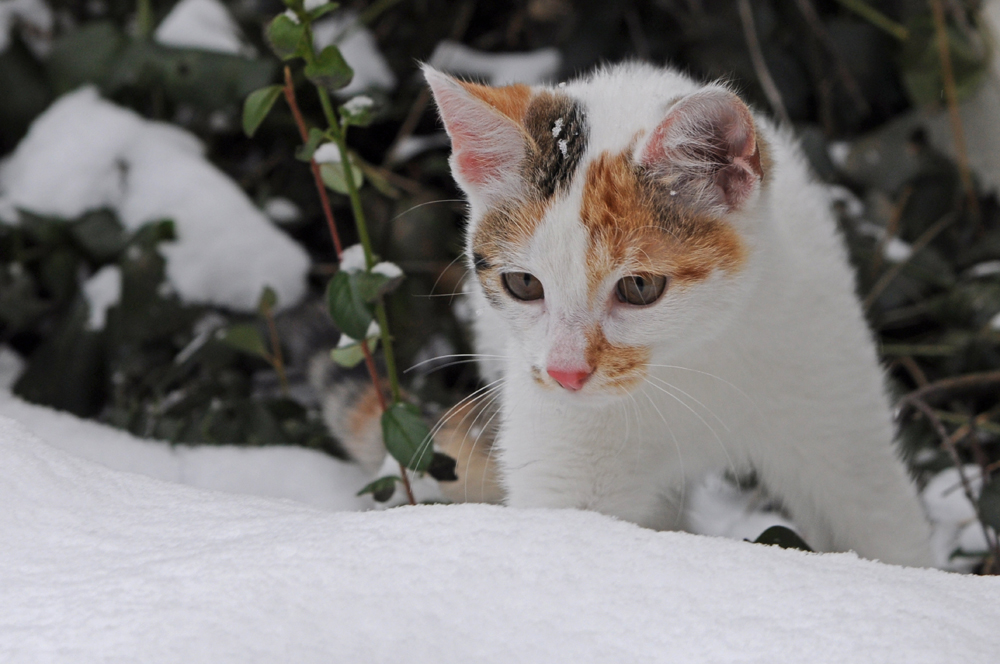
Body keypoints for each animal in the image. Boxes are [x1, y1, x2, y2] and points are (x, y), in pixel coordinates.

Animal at [336, 62, 936, 568]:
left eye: (640, 287)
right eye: (523, 285)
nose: (566, 372)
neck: (690, 360)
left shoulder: (834, 409)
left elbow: (878, 523)